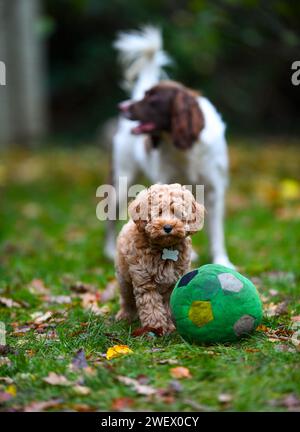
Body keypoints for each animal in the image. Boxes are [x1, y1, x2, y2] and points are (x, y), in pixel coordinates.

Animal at [115, 182, 204, 334]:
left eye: (177, 213)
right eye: (159, 212)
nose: (167, 227)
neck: (164, 247)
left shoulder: (173, 283)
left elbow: (168, 304)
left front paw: (170, 326)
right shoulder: (145, 281)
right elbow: (151, 306)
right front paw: (156, 327)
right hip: (123, 279)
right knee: (127, 299)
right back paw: (125, 316)